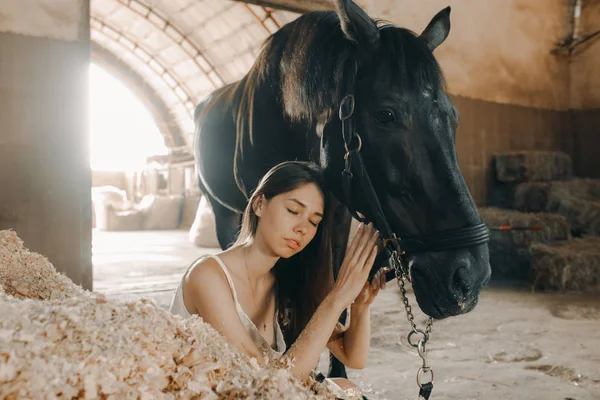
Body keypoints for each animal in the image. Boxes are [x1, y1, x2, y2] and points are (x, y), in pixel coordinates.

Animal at [195, 0, 490, 380]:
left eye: (454, 117)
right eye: (385, 114)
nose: (469, 277)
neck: (284, 111)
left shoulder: (336, 211)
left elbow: (332, 289)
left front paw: (337, 371)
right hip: (221, 208)